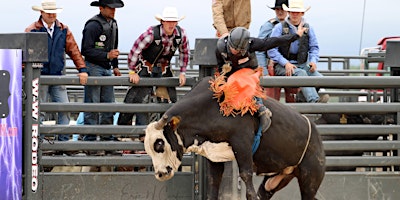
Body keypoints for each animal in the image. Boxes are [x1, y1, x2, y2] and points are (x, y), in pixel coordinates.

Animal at [144, 76, 324, 198]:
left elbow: (247, 183)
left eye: (159, 144)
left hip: (311, 177)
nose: (160, 174)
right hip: (278, 177)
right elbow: (213, 184)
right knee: (264, 191)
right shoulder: (214, 156)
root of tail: (315, 132)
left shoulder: (242, 144)